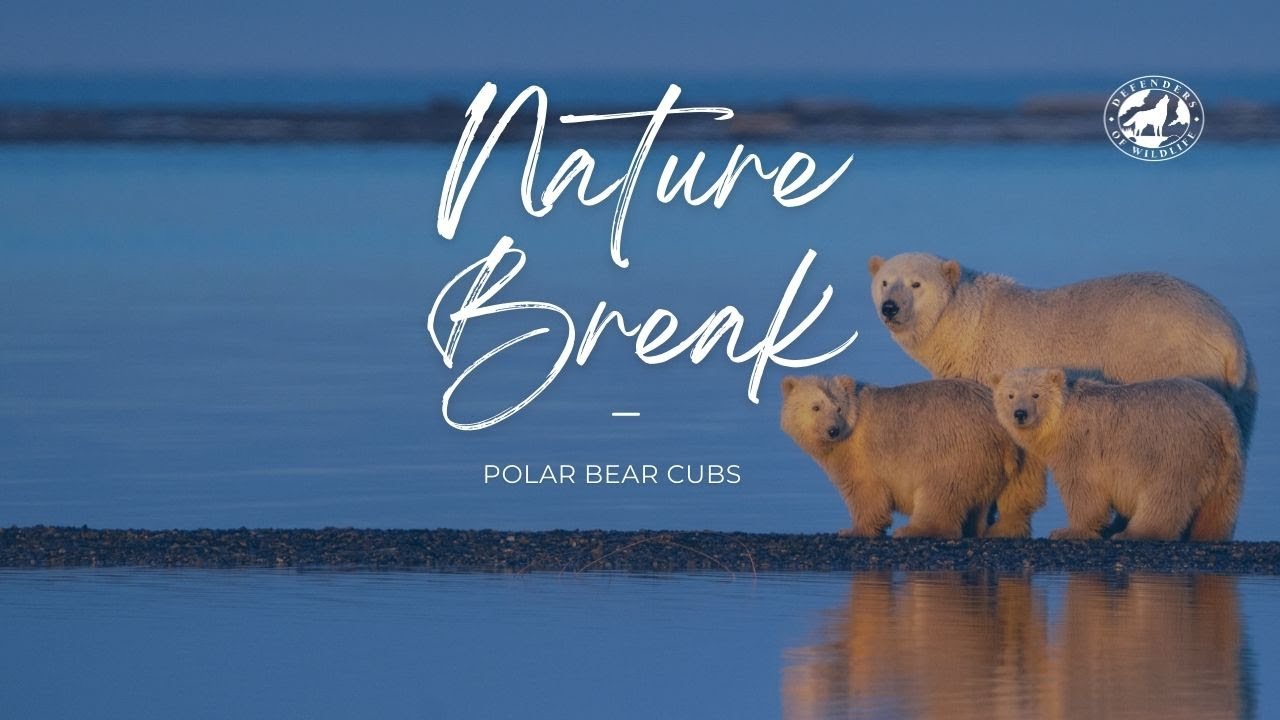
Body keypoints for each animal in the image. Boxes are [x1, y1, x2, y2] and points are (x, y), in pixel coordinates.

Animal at [780, 374, 1037, 538]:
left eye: (838, 408)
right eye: (816, 407)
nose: (832, 430)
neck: (852, 428)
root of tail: (999, 429)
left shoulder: (861, 454)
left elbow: (865, 491)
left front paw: (852, 530)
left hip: (954, 450)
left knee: (938, 492)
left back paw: (913, 530)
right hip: (989, 463)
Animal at [989, 368, 1243, 541]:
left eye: (1036, 395)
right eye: (1010, 395)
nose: (1020, 414)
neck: (1062, 421)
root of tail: (1221, 420)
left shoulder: (1081, 446)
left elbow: (1083, 488)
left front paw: (1067, 530)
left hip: (1175, 450)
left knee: (1164, 493)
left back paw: (1135, 532)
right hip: (1227, 461)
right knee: (1219, 504)